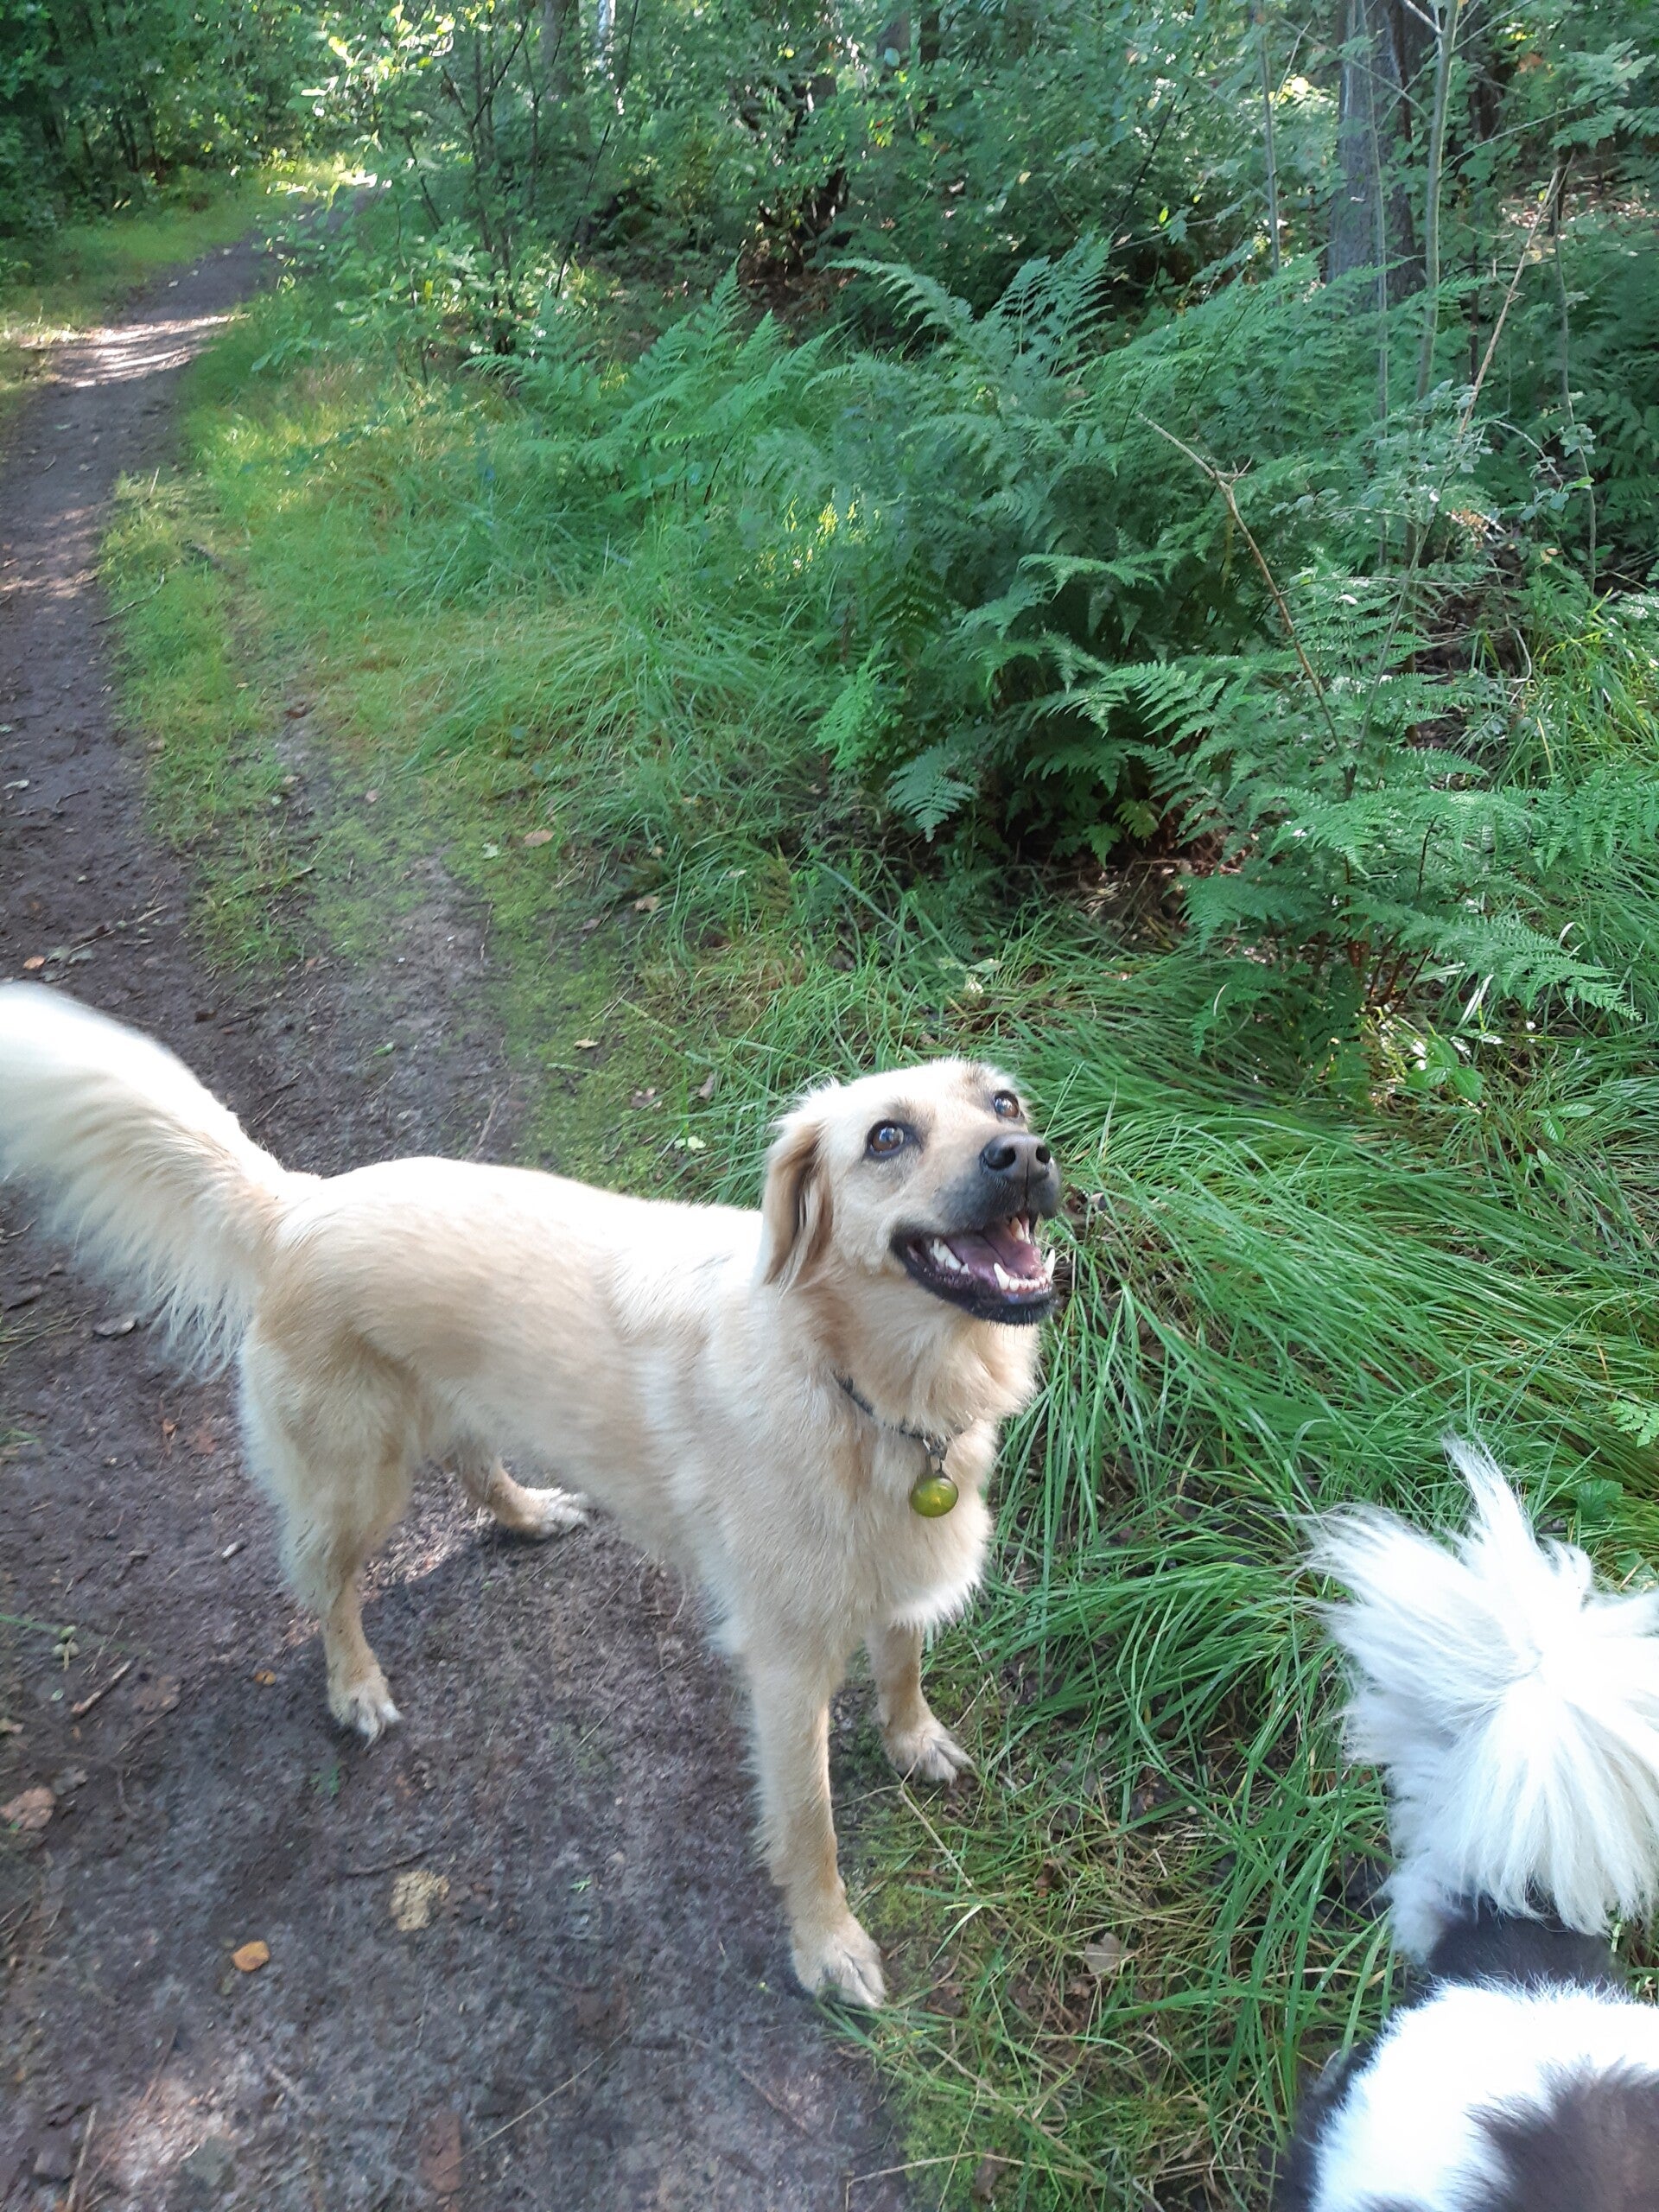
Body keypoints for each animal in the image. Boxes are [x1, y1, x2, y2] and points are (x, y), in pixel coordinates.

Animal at [0, 985, 1061, 2004]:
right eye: (886, 1137)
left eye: (1003, 1103)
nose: (1025, 1155)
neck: (854, 1382)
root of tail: (296, 1206)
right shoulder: (786, 1666)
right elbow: (811, 1826)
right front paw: (826, 1945)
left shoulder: (897, 1571)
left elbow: (903, 1665)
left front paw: (912, 1738)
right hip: (354, 1484)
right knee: (323, 1583)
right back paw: (354, 1683)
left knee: (471, 1467)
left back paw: (530, 1515)